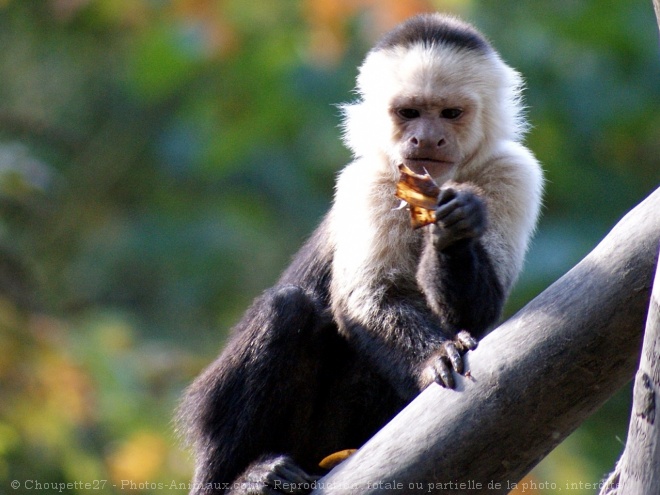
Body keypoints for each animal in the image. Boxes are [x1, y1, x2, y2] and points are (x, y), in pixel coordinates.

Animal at [178, 12, 544, 495]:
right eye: (409, 113)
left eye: (450, 113)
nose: (427, 138)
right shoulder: (370, 178)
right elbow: (367, 297)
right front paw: (434, 356)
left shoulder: (514, 173)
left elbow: (476, 317)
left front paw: (456, 227)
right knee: (286, 308)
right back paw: (241, 479)